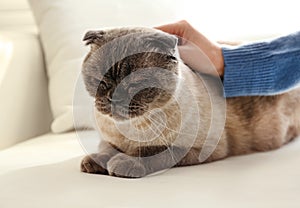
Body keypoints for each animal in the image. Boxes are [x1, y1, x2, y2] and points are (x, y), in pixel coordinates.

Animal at [79, 26, 300, 178]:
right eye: (101, 81)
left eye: (135, 83)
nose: (113, 98)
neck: (131, 129)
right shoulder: (108, 140)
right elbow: (107, 150)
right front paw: (95, 162)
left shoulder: (194, 149)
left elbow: (150, 151)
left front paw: (122, 163)